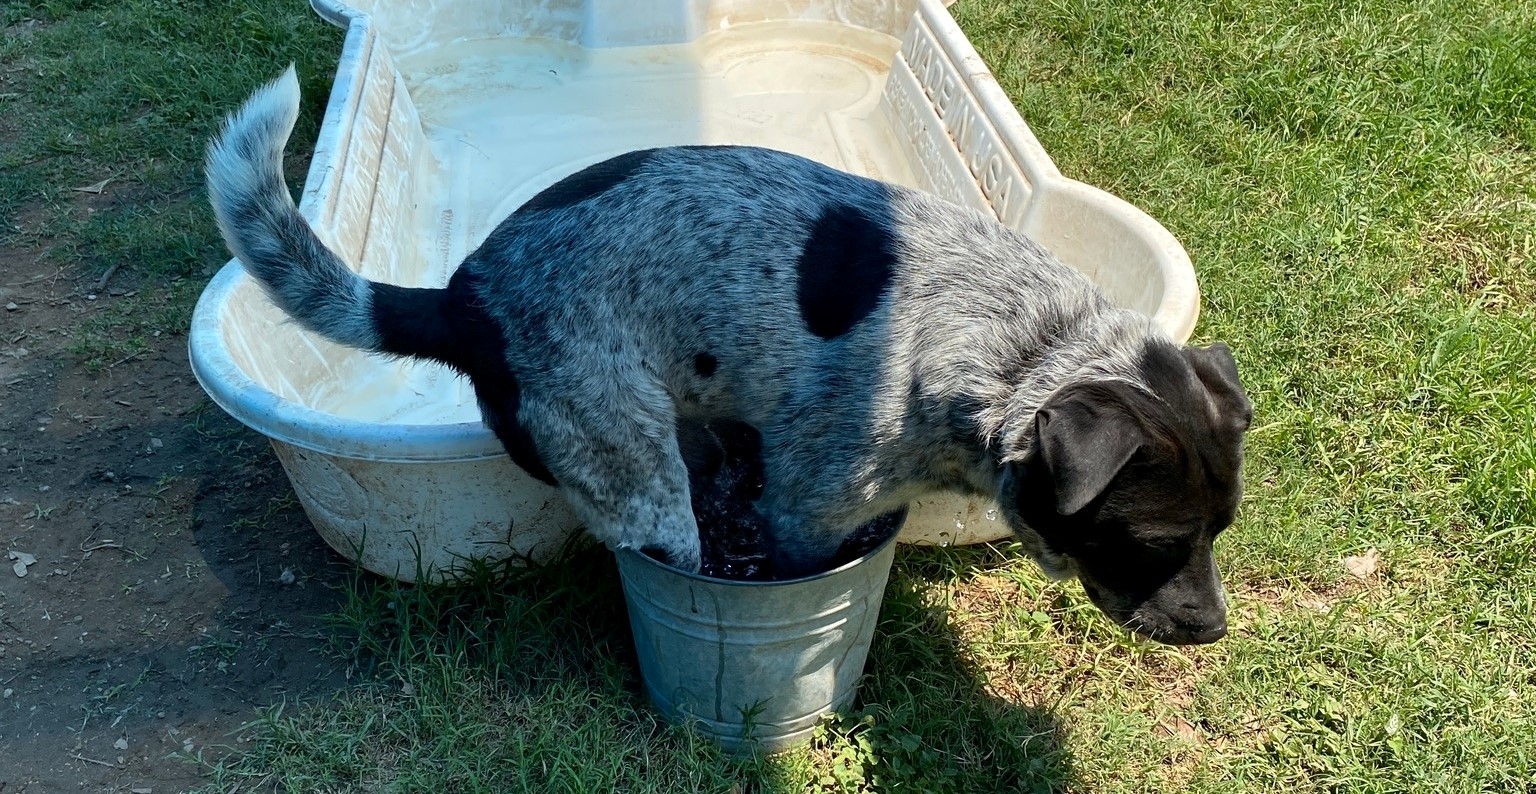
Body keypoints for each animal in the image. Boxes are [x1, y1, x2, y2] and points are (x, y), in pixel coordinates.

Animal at [207, 67, 1247, 645]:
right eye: (1152, 542)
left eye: (1221, 532)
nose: (1213, 633)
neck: (1018, 347)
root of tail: (463, 300)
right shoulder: (810, 510)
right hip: (644, 485)